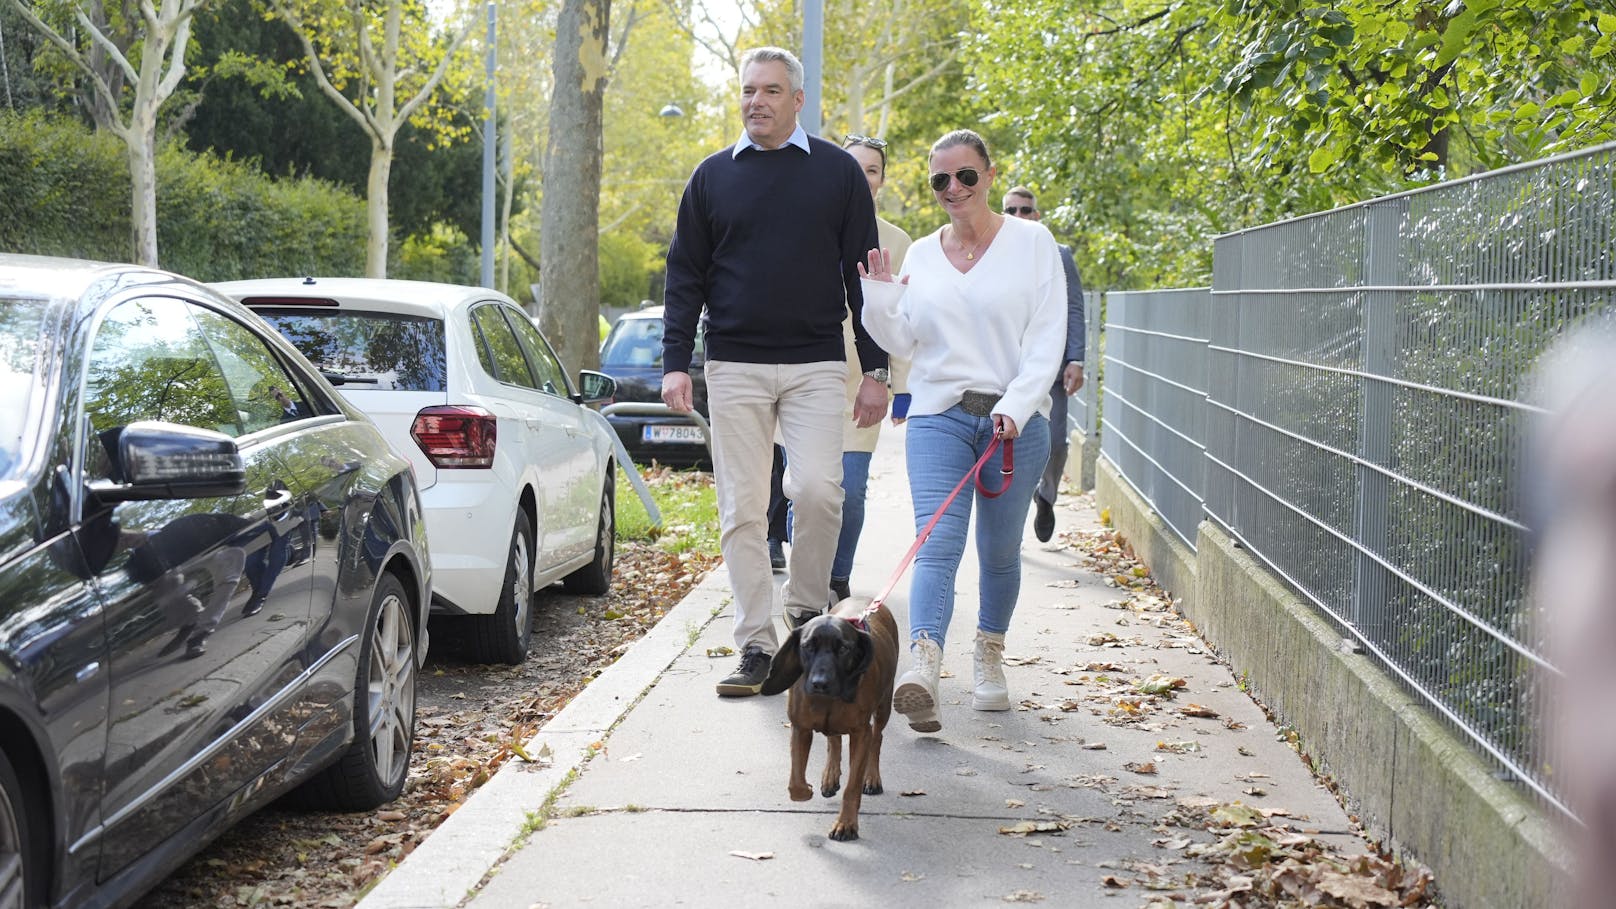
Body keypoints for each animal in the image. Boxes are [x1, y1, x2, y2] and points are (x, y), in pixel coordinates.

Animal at [756, 595, 898, 841]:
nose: (820, 683)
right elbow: (795, 783)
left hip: (884, 706)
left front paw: (846, 824)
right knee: (834, 740)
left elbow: (852, 786)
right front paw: (807, 789)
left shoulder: (861, 734)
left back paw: (872, 777)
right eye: (807, 646)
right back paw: (830, 775)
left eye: (843, 648)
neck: (828, 701)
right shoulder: (799, 728)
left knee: (877, 738)